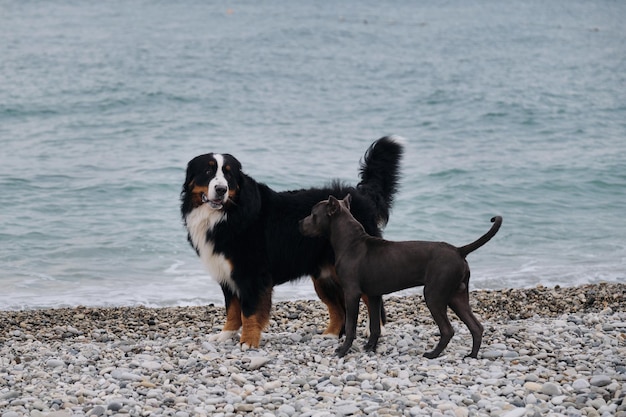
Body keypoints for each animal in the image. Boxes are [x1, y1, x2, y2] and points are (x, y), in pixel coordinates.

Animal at [180, 136, 404, 348]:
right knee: (338, 309)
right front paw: (225, 335)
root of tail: (360, 195)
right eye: (208, 171)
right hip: (324, 276)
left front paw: (248, 341)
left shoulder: (252, 274)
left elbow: (249, 312)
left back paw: (376, 330)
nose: (221, 189)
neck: (227, 214)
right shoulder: (226, 273)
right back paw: (330, 335)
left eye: (228, 175)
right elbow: (233, 310)